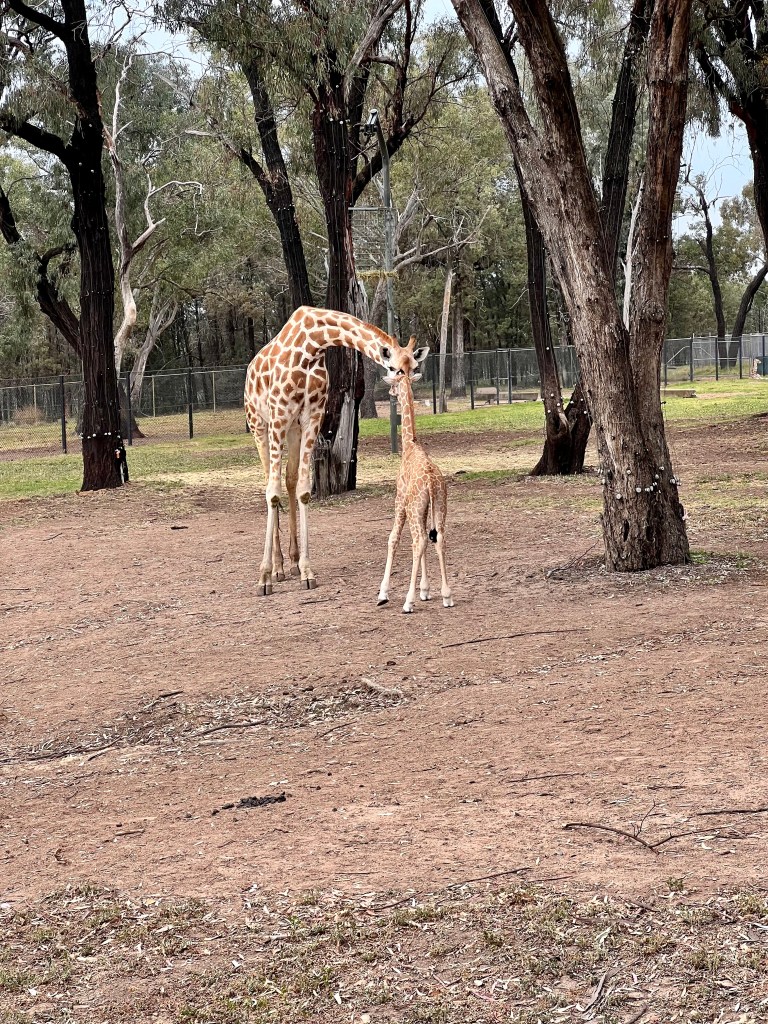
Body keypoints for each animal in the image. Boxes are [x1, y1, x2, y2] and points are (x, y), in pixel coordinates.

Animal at [244, 306, 428, 596]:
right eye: (394, 367)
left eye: (415, 367)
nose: (406, 390)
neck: (312, 346)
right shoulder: (278, 415)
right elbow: (272, 493)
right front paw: (264, 577)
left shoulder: (311, 417)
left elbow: (303, 490)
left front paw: (306, 571)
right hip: (258, 424)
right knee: (269, 484)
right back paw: (278, 568)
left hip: (293, 429)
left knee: (290, 479)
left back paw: (292, 562)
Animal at [377, 337, 454, 613]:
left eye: (393, 371)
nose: (390, 392)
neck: (410, 444)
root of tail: (431, 482)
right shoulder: (422, 509)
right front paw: (426, 590)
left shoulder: (400, 501)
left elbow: (392, 539)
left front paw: (384, 593)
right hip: (440, 506)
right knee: (438, 538)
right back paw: (447, 595)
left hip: (413, 507)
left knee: (419, 540)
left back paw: (407, 602)